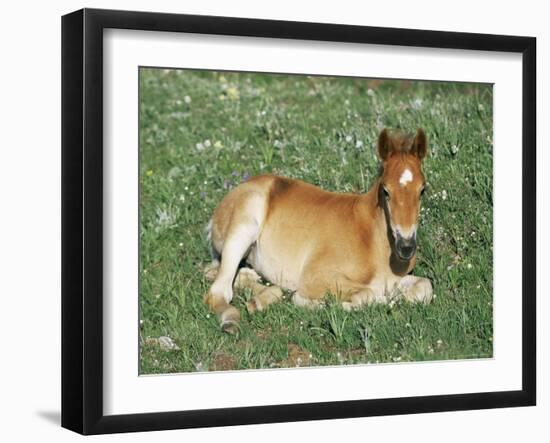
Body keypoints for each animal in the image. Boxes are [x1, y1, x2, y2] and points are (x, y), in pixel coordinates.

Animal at [204, 128, 436, 332]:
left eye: (422, 190)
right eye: (386, 191)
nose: (406, 247)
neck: (372, 240)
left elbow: (425, 287)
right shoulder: (315, 277)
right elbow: (368, 293)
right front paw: (316, 303)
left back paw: (259, 299)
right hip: (244, 226)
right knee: (218, 291)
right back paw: (232, 320)